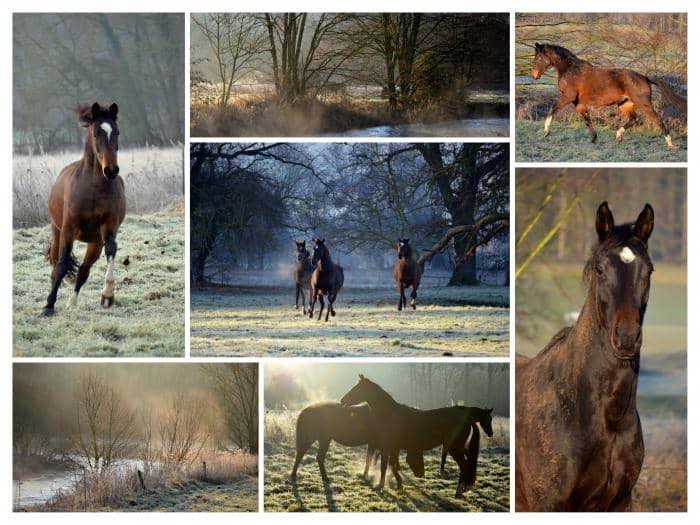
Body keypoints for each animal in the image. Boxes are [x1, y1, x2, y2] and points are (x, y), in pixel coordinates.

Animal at [43, 103, 125, 316]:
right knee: (55, 265)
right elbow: (62, 265)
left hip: (94, 243)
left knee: (83, 271)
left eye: (117, 132)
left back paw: (72, 304)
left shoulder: (108, 227)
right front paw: (48, 306)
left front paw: (107, 296)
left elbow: (111, 250)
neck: (94, 188)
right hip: (57, 232)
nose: (111, 170)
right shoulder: (68, 229)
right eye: (96, 133)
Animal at [340, 372, 492, 496]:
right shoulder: (392, 448)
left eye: (357, 389)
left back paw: (459, 491)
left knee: (464, 466)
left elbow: (385, 466)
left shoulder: (386, 447)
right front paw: (399, 485)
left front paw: (381, 485)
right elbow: (392, 465)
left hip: (455, 448)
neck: (389, 414)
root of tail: (466, 418)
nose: (342, 401)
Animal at [532, 42, 684, 149]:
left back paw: (670, 144)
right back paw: (618, 137)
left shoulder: (567, 97)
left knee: (657, 119)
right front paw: (594, 139)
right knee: (634, 119)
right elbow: (587, 120)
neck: (570, 70)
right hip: (624, 104)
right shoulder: (578, 103)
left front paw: (546, 132)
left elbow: (552, 109)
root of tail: (644, 77)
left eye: (538, 57)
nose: (534, 75)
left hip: (644, 103)